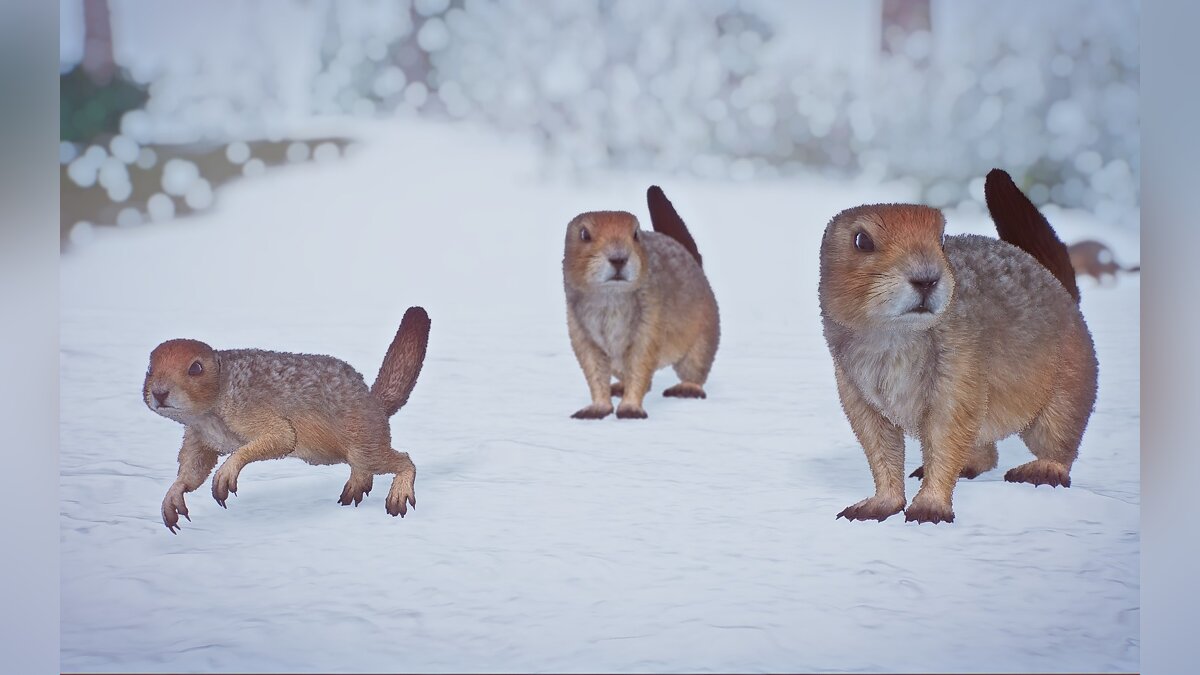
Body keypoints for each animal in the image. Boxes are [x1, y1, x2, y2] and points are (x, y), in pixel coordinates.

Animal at [143, 305, 432, 530]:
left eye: (195, 368)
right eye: (149, 368)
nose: (159, 393)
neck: (209, 413)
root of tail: (374, 403)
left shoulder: (246, 407)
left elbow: (281, 436)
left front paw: (226, 472)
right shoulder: (198, 433)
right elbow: (194, 466)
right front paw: (172, 497)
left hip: (363, 439)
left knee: (401, 460)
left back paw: (398, 494)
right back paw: (355, 488)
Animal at [564, 183, 720, 415]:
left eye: (636, 233)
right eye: (584, 234)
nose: (619, 258)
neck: (611, 297)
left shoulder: (651, 318)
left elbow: (641, 362)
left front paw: (630, 409)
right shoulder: (579, 329)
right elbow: (593, 368)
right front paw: (597, 408)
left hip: (704, 332)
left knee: (695, 366)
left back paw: (687, 388)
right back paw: (618, 387)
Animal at [820, 170, 1099, 523]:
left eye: (941, 239)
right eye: (862, 241)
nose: (926, 279)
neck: (894, 337)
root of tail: (1064, 291)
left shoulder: (960, 366)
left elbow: (947, 431)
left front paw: (928, 507)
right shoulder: (853, 386)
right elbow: (878, 443)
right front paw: (876, 505)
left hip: (1069, 383)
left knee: (1058, 437)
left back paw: (1041, 470)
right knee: (986, 450)